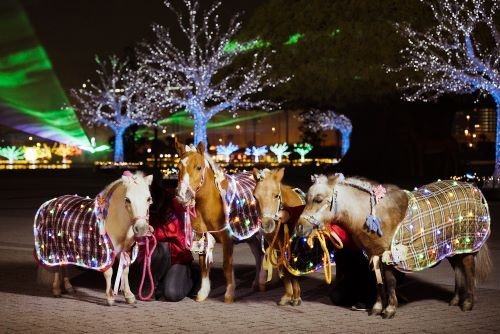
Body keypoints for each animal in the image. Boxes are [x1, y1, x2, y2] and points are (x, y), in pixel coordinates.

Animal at [34, 171, 153, 304]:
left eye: (148, 199)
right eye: (127, 199)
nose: (141, 228)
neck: (113, 220)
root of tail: (53, 201)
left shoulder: (125, 251)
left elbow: (125, 271)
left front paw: (129, 296)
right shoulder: (104, 252)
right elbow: (109, 272)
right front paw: (110, 297)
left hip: (67, 246)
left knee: (64, 264)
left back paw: (68, 287)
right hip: (55, 245)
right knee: (57, 266)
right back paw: (56, 290)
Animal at [175, 142, 264, 304]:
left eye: (198, 167)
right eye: (178, 168)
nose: (182, 194)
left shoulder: (227, 237)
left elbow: (227, 265)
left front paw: (229, 294)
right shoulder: (203, 237)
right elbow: (204, 265)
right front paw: (203, 293)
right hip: (249, 232)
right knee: (258, 254)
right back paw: (256, 283)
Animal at [252, 167, 306, 306]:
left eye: (276, 195)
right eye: (255, 196)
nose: (266, 225)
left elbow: (292, 271)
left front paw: (296, 298)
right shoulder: (278, 248)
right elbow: (284, 269)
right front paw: (288, 296)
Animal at [294, 175, 490, 318]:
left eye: (318, 199)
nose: (299, 227)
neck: (376, 215)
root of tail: (474, 189)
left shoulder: (387, 256)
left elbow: (389, 282)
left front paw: (389, 309)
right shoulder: (374, 256)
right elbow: (378, 283)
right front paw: (377, 307)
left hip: (467, 245)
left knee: (468, 271)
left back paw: (467, 304)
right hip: (453, 248)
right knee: (458, 270)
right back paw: (455, 300)